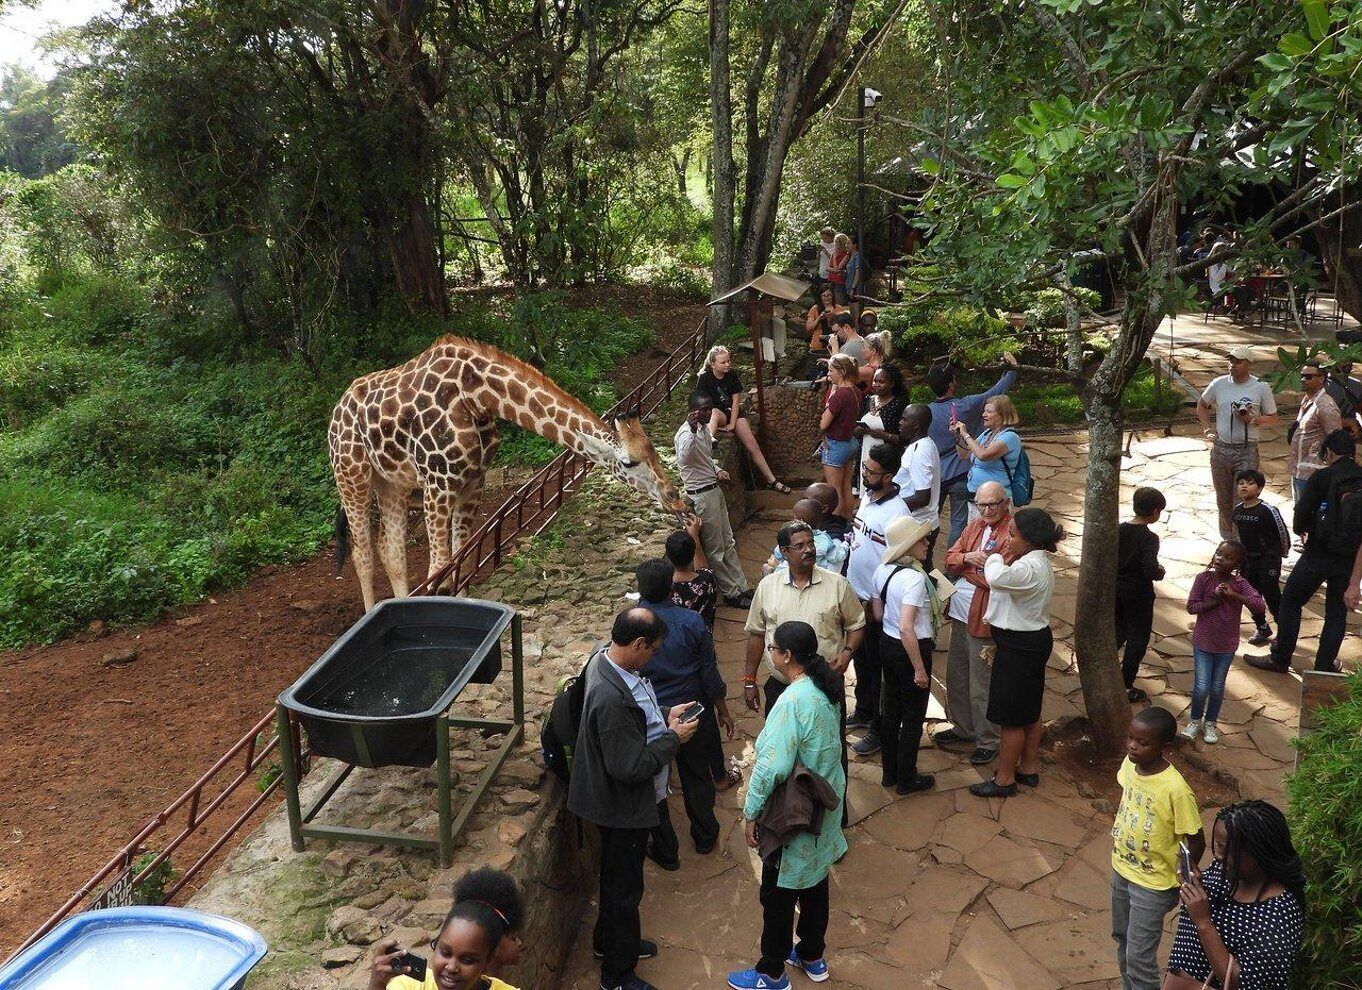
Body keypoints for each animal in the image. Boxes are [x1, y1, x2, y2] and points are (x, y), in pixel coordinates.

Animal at [329, 335, 687, 610]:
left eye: (653, 450)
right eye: (628, 462)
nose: (674, 496)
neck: (477, 394)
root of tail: (336, 410)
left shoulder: (473, 479)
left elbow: (462, 561)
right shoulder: (437, 482)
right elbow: (439, 569)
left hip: (392, 482)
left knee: (391, 551)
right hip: (352, 475)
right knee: (362, 553)